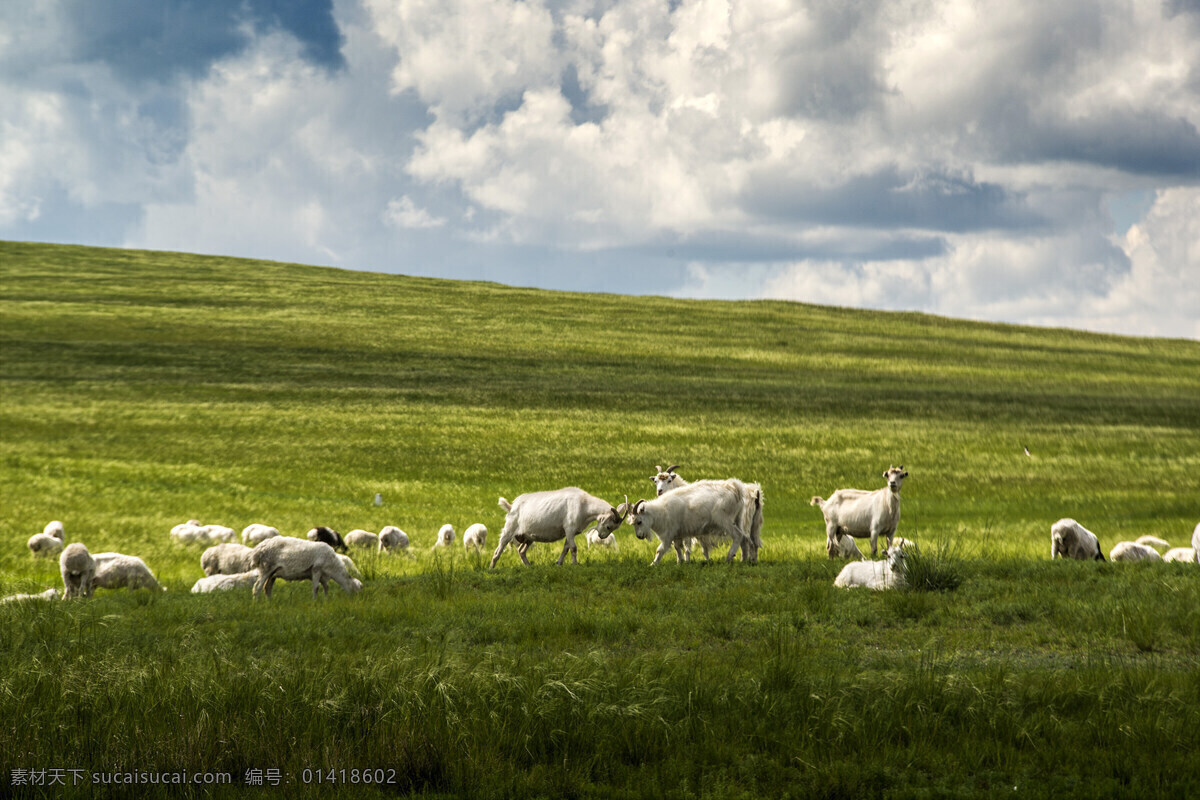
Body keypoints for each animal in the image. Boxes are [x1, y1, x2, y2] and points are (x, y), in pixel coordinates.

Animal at [492, 489, 633, 568]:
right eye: (609, 526)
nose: (601, 536)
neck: (583, 504)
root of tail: (511, 506)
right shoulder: (569, 528)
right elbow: (573, 548)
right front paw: (575, 564)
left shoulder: (571, 532)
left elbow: (566, 548)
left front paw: (558, 563)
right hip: (509, 529)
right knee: (499, 549)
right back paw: (491, 568)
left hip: (528, 537)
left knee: (521, 550)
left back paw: (529, 566)